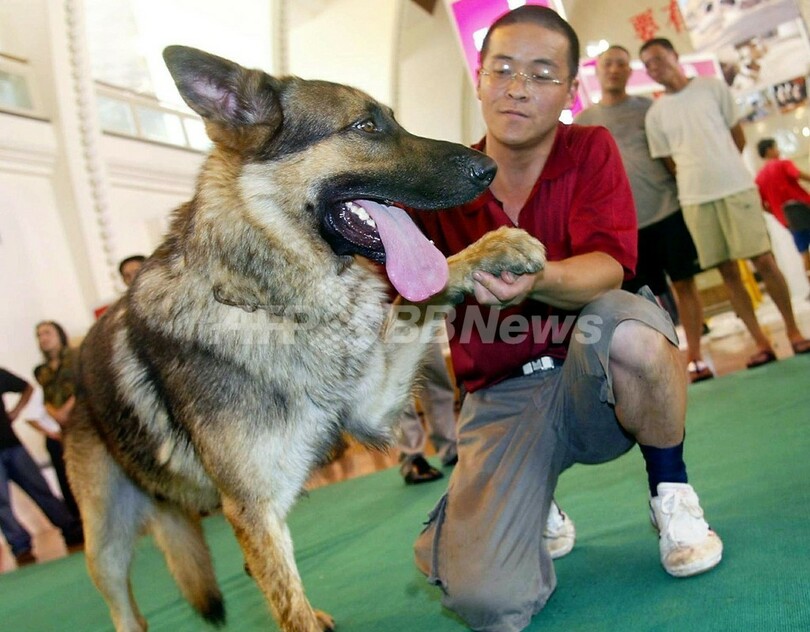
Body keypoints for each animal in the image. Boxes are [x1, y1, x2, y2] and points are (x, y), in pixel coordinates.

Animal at [63, 45, 544, 632]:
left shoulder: (371, 406)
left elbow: (423, 293)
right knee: (130, 608)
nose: (490, 169)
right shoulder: (255, 511)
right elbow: (290, 610)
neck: (269, 300)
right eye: (365, 126)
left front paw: (492, 249)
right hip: (105, 549)